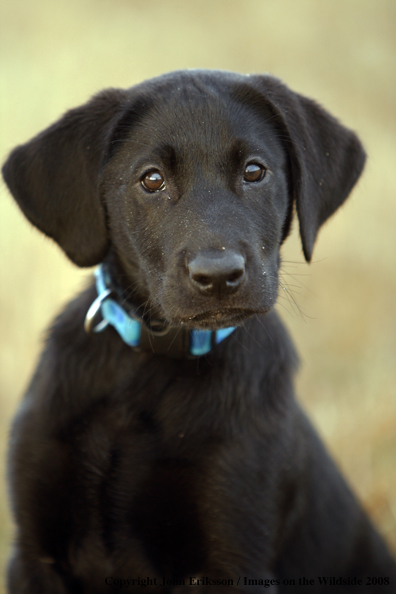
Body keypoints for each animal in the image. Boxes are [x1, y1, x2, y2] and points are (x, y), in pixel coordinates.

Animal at [3, 71, 396, 588]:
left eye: (255, 171)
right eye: (152, 179)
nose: (219, 276)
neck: (153, 360)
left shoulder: (233, 551)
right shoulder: (33, 553)